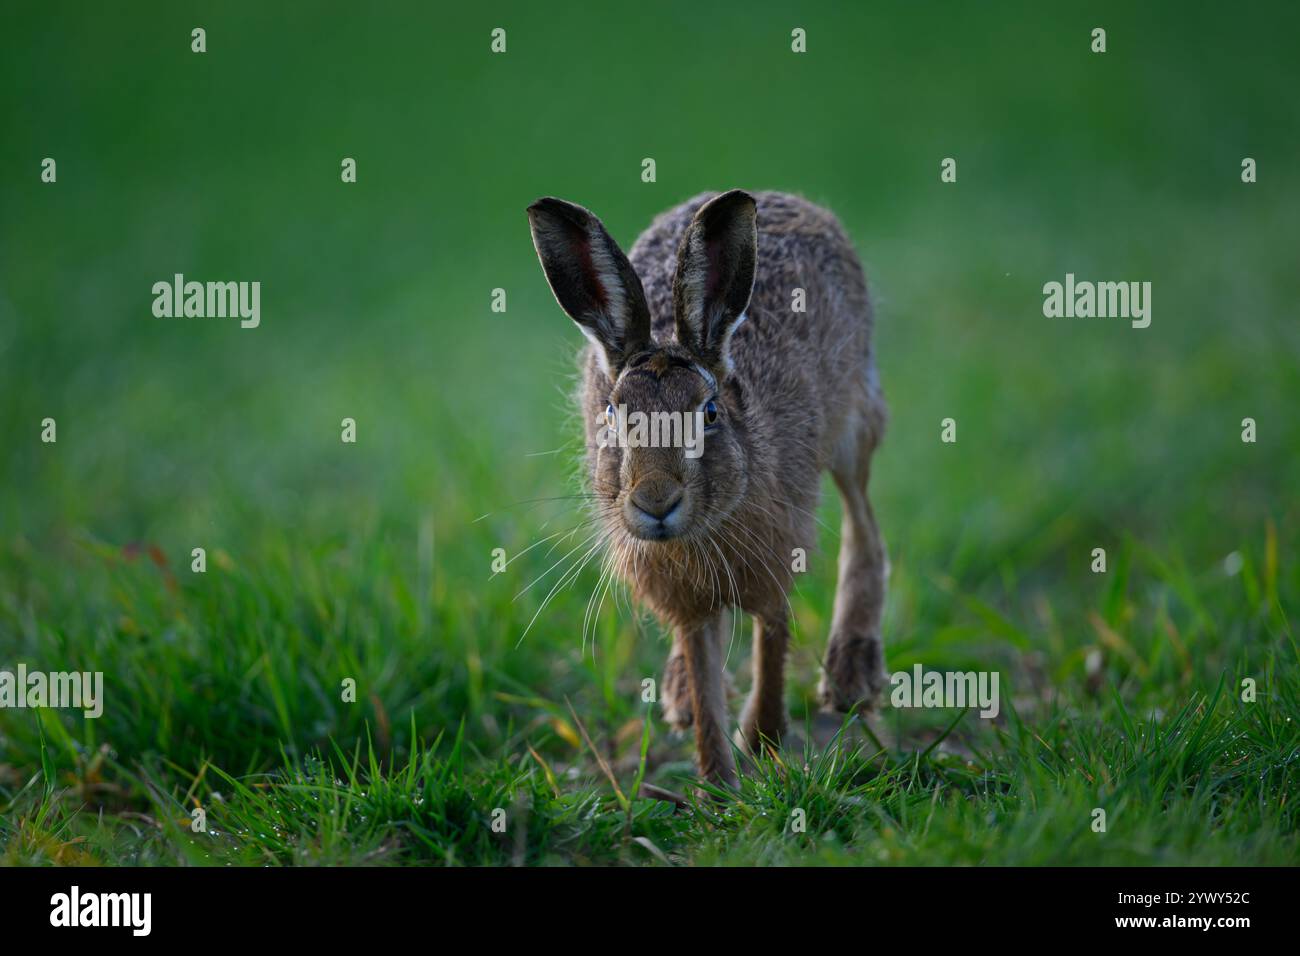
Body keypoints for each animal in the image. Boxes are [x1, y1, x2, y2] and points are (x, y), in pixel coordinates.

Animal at [527, 189, 888, 788]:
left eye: (710, 413)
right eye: (611, 416)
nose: (655, 501)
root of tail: (790, 198)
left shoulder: (777, 555)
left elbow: (772, 637)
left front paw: (761, 741)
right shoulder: (687, 602)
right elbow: (703, 669)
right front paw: (718, 781)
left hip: (855, 421)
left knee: (864, 522)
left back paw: (850, 675)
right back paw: (677, 698)